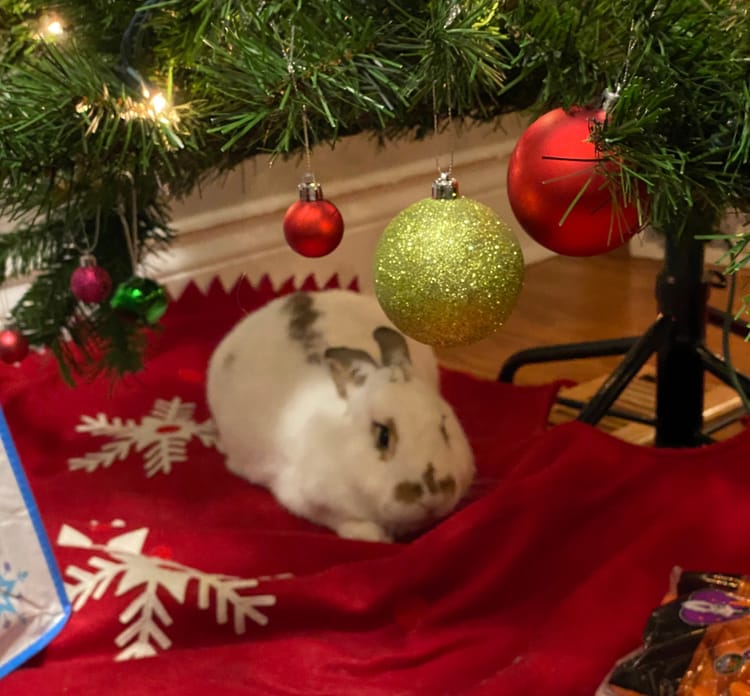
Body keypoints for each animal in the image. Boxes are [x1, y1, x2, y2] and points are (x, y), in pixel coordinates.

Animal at [206, 288, 476, 544]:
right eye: (383, 436)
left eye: (444, 429)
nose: (433, 495)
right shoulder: (307, 499)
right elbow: (343, 519)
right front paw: (374, 536)